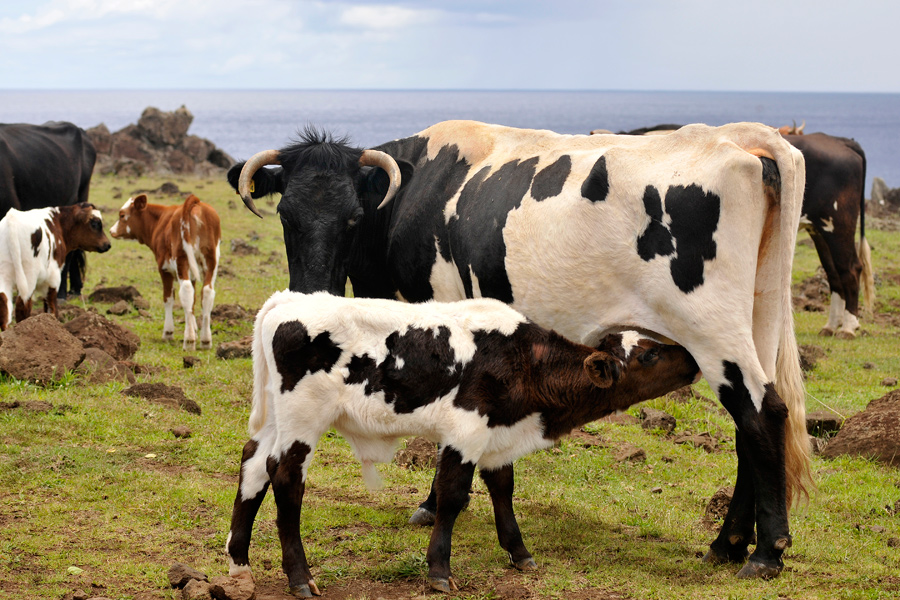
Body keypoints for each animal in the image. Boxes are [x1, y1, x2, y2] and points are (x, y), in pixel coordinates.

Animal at [109, 192, 221, 352]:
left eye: (122, 215)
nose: (112, 230)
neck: (160, 222)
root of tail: (196, 204)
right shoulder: (193, 274)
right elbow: (192, 303)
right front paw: (193, 327)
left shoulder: (164, 269)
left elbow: (168, 299)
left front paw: (168, 332)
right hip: (211, 261)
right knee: (207, 292)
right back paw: (205, 340)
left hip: (182, 259)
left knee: (186, 290)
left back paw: (189, 341)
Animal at [225, 290, 704, 596]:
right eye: (650, 354)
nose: (694, 359)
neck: (524, 361)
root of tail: (289, 299)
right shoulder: (466, 431)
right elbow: (453, 496)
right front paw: (439, 570)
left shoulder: (496, 433)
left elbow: (503, 489)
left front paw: (519, 552)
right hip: (302, 421)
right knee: (285, 479)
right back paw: (299, 577)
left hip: (277, 420)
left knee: (253, 465)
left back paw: (239, 563)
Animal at [612, 123, 872, 338]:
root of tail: (841, 140)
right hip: (820, 230)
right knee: (833, 272)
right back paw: (832, 325)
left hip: (838, 223)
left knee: (850, 269)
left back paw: (848, 327)